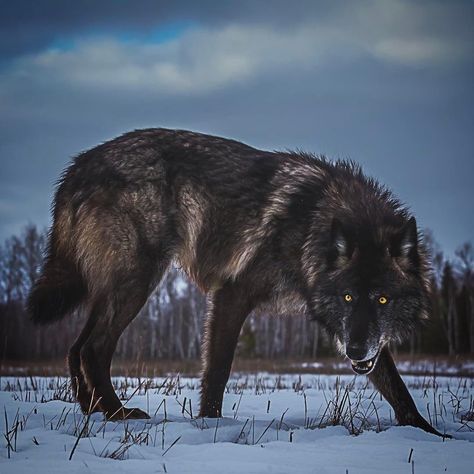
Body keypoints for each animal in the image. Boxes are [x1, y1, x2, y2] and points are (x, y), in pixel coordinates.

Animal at [29, 128, 442, 436]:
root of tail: (78, 166)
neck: (313, 227)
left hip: (113, 291)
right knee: (93, 348)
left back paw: (92, 411)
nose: (354, 352)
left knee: (75, 348)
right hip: (136, 284)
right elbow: (218, 370)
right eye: (347, 297)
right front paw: (210, 426)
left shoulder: (362, 338)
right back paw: (117, 415)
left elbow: (397, 386)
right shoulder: (232, 294)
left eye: (383, 300)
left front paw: (429, 434)